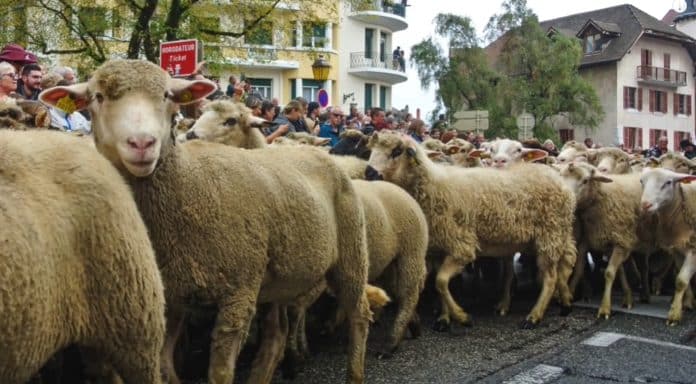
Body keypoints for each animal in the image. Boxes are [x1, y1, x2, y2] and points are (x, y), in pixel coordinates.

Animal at [39, 60, 376, 384]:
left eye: (167, 95)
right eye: (98, 97)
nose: (142, 143)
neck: (189, 185)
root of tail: (321, 154)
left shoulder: (239, 292)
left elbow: (220, 373)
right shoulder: (172, 299)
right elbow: (165, 367)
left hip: (351, 254)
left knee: (359, 313)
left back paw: (355, 374)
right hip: (280, 282)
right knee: (276, 336)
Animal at [364, 133, 576, 330]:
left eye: (397, 151)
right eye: (371, 150)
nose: (368, 173)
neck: (432, 185)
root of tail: (555, 177)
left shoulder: (462, 246)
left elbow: (441, 281)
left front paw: (462, 317)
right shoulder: (437, 249)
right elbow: (439, 284)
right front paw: (444, 318)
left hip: (550, 235)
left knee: (550, 277)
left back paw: (534, 316)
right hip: (551, 235)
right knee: (563, 263)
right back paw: (565, 300)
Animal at [640, 168, 696, 324]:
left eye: (668, 182)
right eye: (642, 181)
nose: (645, 205)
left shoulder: (693, 250)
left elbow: (681, 280)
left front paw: (674, 315)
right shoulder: (677, 249)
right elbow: (682, 278)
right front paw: (687, 303)